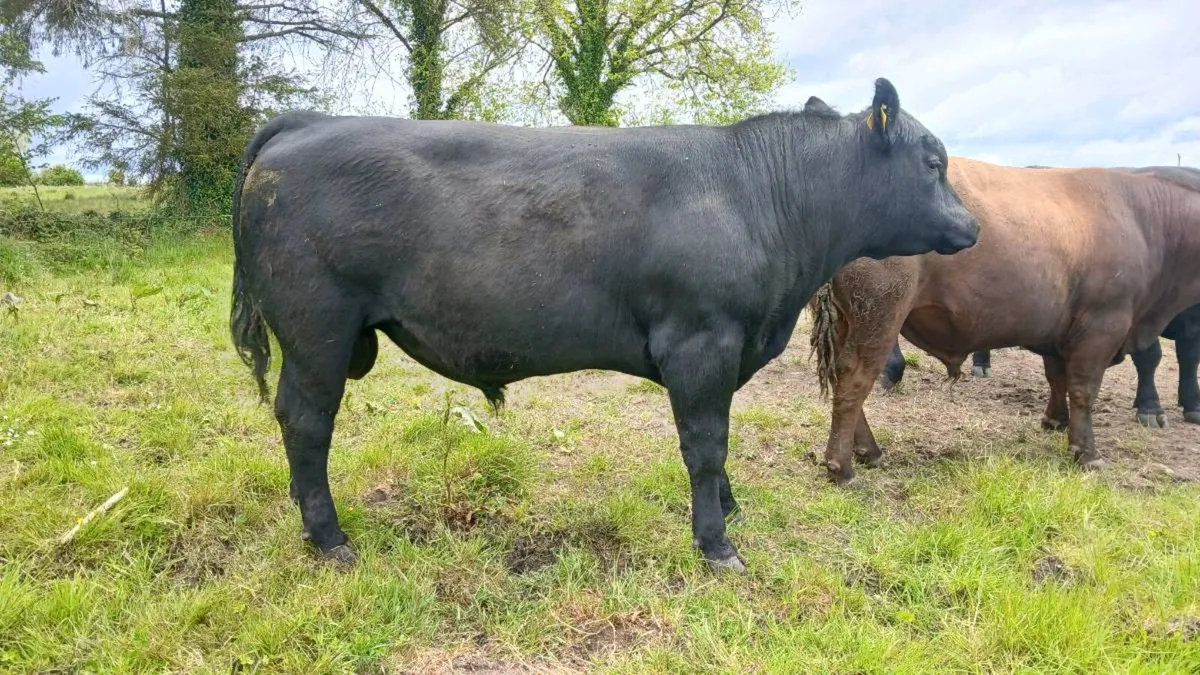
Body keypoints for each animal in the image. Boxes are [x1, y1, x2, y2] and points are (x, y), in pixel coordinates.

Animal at [229, 78, 980, 574]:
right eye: (933, 163)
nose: (972, 225)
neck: (758, 198)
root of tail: (303, 122)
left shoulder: (728, 351)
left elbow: (720, 442)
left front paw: (729, 508)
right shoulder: (701, 342)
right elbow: (705, 444)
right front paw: (717, 544)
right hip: (317, 330)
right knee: (306, 422)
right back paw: (329, 538)